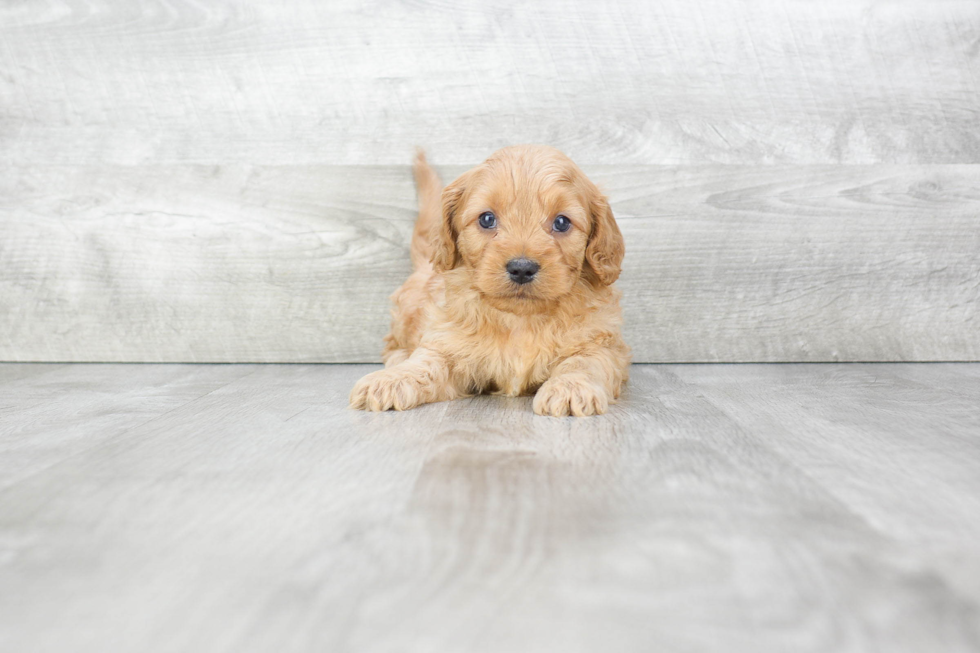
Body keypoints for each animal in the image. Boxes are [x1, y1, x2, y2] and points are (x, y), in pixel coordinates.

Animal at [348, 145, 632, 416]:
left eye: (562, 222)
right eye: (487, 219)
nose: (521, 268)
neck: (521, 320)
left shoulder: (601, 342)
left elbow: (584, 362)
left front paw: (570, 388)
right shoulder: (446, 343)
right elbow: (424, 363)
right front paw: (390, 380)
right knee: (393, 344)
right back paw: (396, 362)